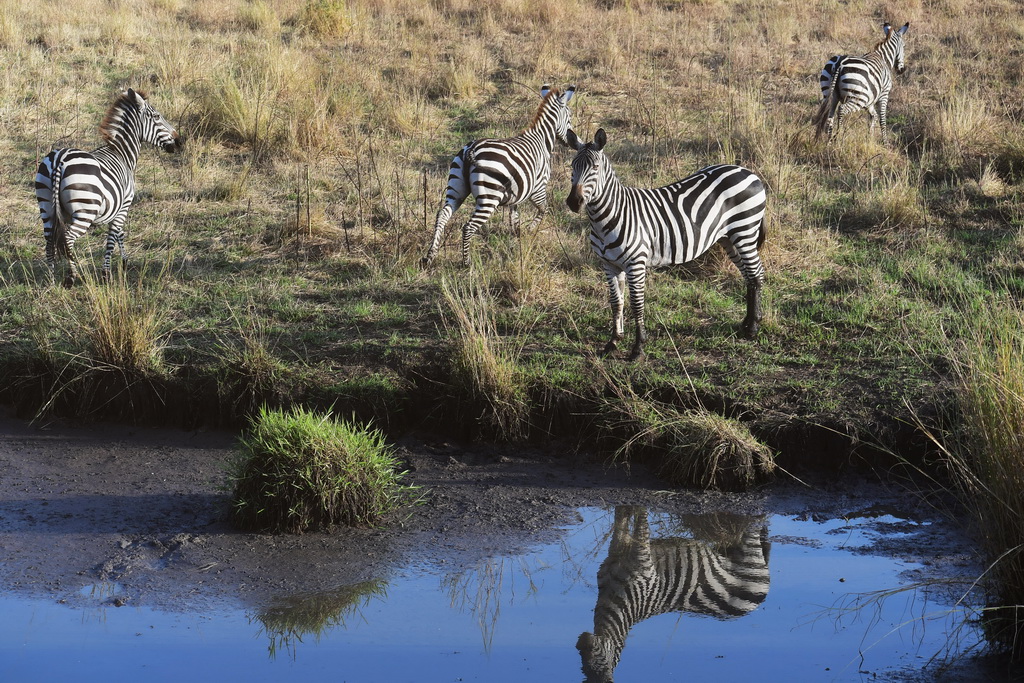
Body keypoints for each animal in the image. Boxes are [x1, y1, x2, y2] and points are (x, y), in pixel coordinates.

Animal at [35, 88, 184, 286]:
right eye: (157, 116)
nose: (179, 142)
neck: (122, 153)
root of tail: (59, 159)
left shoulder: (116, 208)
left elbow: (119, 234)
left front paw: (124, 262)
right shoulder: (124, 204)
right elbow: (112, 237)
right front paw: (106, 274)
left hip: (46, 208)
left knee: (49, 241)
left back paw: (51, 279)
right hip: (85, 211)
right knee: (68, 239)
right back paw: (72, 276)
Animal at [417, 83, 577, 268]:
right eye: (570, 117)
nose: (573, 142)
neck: (542, 140)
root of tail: (471, 149)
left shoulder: (517, 194)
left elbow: (514, 217)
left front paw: (517, 237)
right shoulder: (538, 188)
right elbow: (543, 209)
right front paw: (530, 230)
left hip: (456, 189)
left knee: (442, 215)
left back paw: (430, 256)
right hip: (489, 198)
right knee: (468, 227)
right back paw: (467, 262)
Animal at [569, 129, 770, 362]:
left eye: (595, 167)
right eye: (572, 165)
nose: (573, 202)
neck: (609, 217)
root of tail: (748, 171)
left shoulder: (636, 264)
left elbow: (636, 304)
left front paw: (638, 348)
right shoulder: (609, 264)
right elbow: (616, 303)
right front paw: (612, 343)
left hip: (745, 231)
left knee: (756, 274)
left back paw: (753, 328)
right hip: (729, 238)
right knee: (748, 276)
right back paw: (746, 324)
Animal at [577, 507, 770, 683]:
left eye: (599, 663)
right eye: (582, 662)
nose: (581, 640)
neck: (617, 601)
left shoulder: (644, 562)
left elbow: (641, 520)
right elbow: (621, 519)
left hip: (749, 551)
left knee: (756, 524)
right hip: (730, 549)